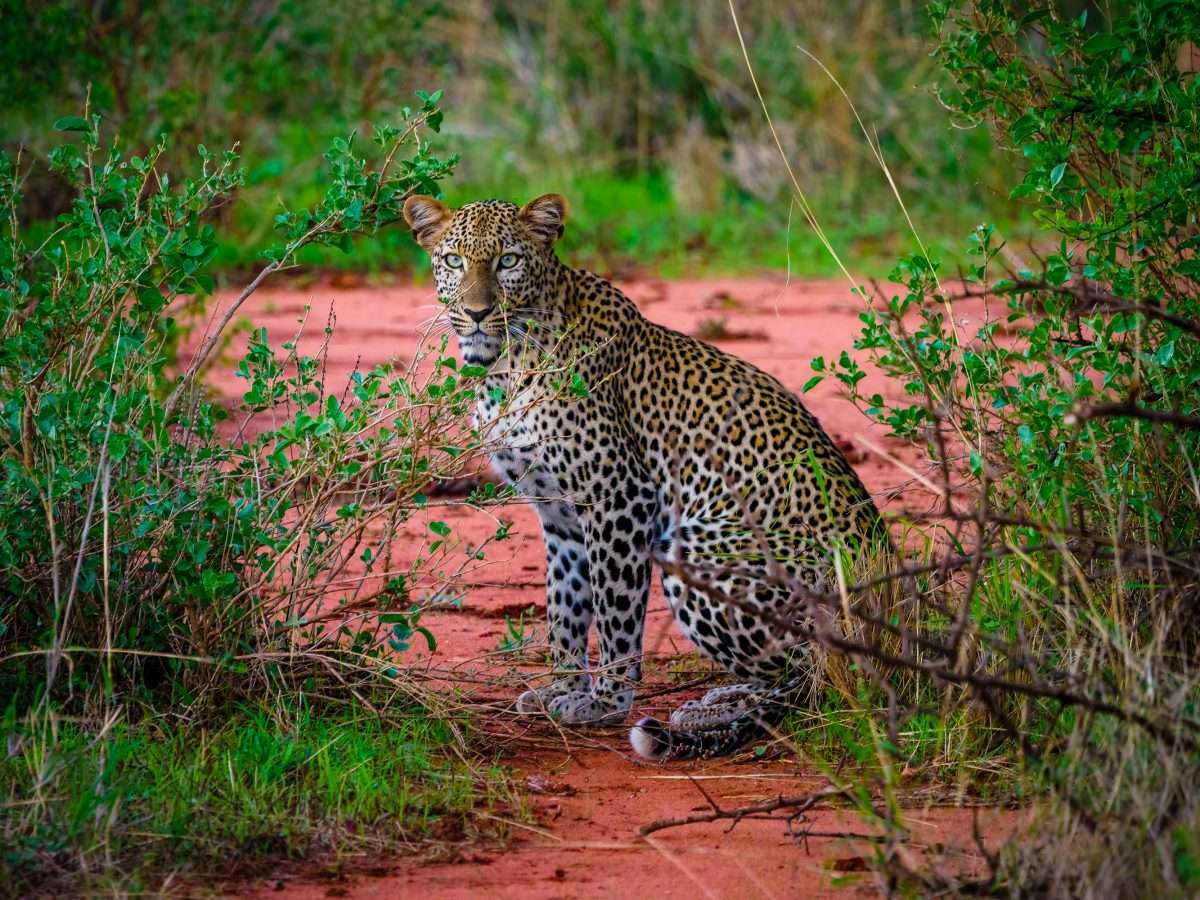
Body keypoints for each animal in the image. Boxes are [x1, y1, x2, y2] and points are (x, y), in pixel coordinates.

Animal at [402, 192, 885, 760]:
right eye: (454, 261)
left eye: (508, 261)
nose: (478, 313)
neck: (505, 365)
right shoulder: (559, 514)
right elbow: (565, 607)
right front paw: (561, 689)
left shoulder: (618, 496)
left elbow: (615, 608)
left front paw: (605, 700)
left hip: (699, 550)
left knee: (814, 677)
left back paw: (713, 709)